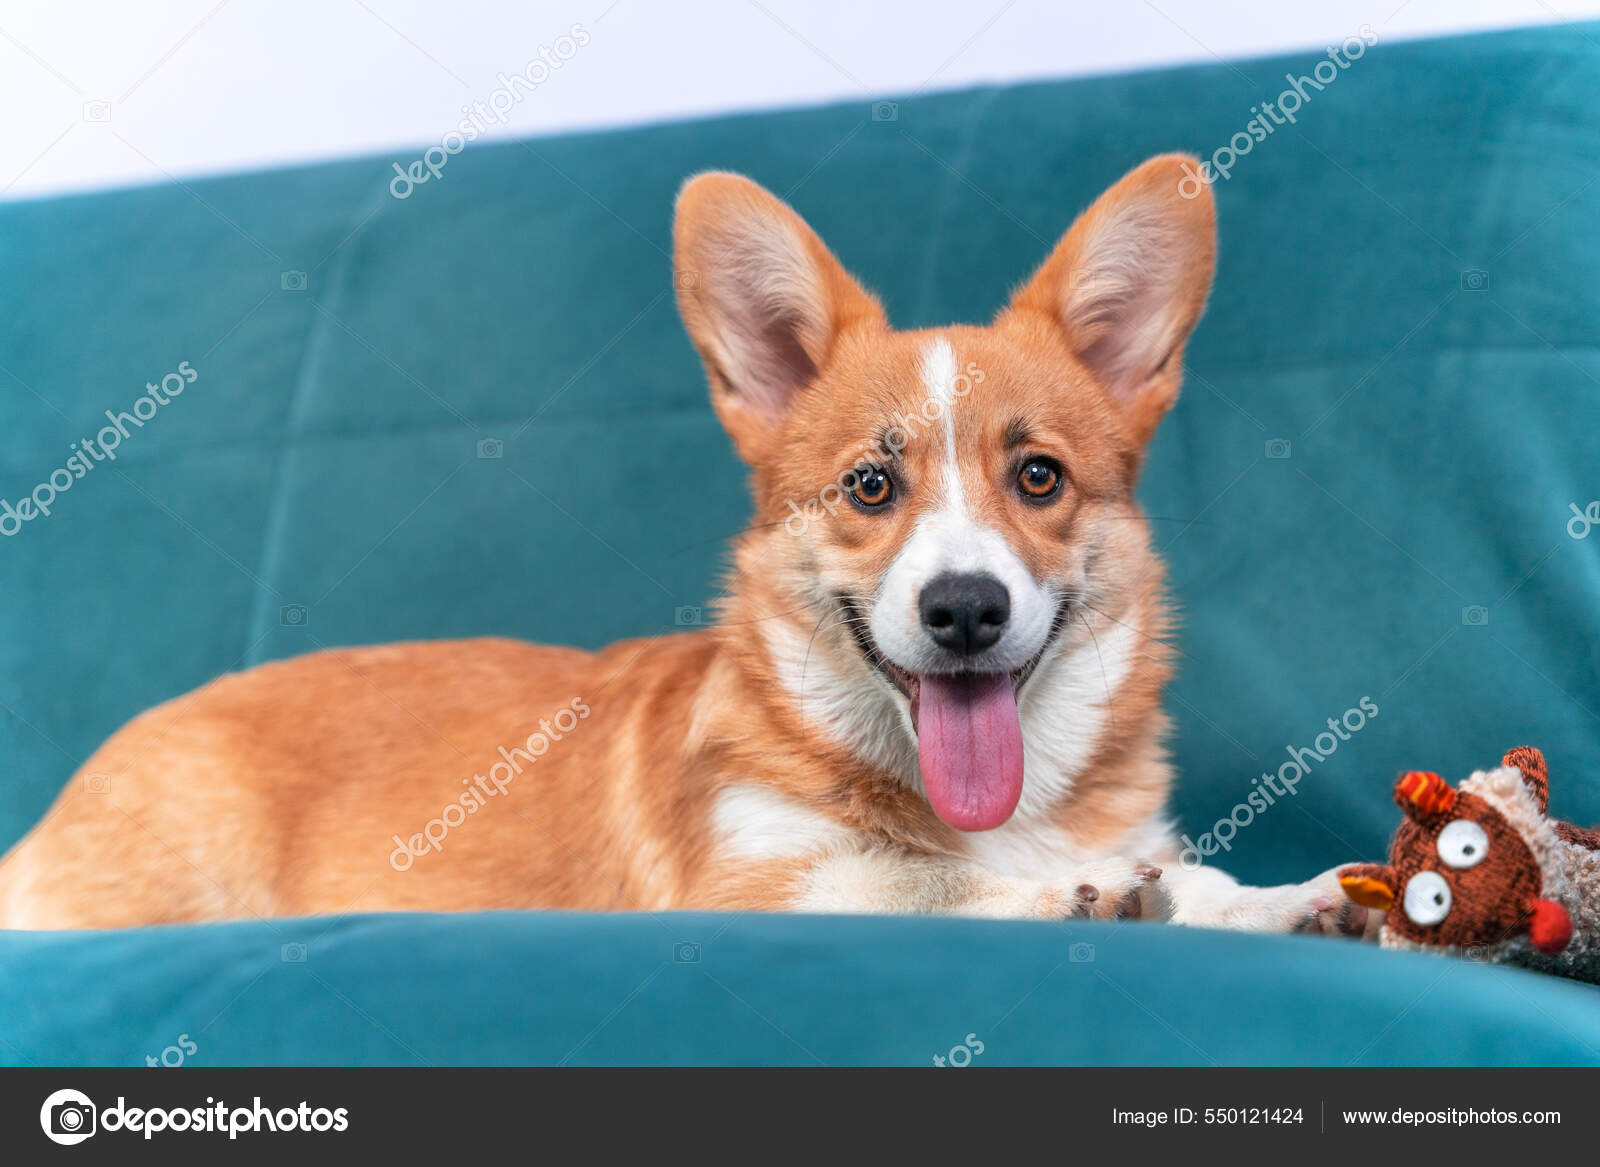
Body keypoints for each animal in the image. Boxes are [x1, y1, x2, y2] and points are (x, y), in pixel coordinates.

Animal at [0, 156, 1376, 934]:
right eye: (870, 485)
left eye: (1037, 477)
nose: (966, 611)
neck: (994, 811)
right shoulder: (755, 889)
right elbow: (909, 887)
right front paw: (1058, 898)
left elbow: (1195, 885)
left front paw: (1285, 900)